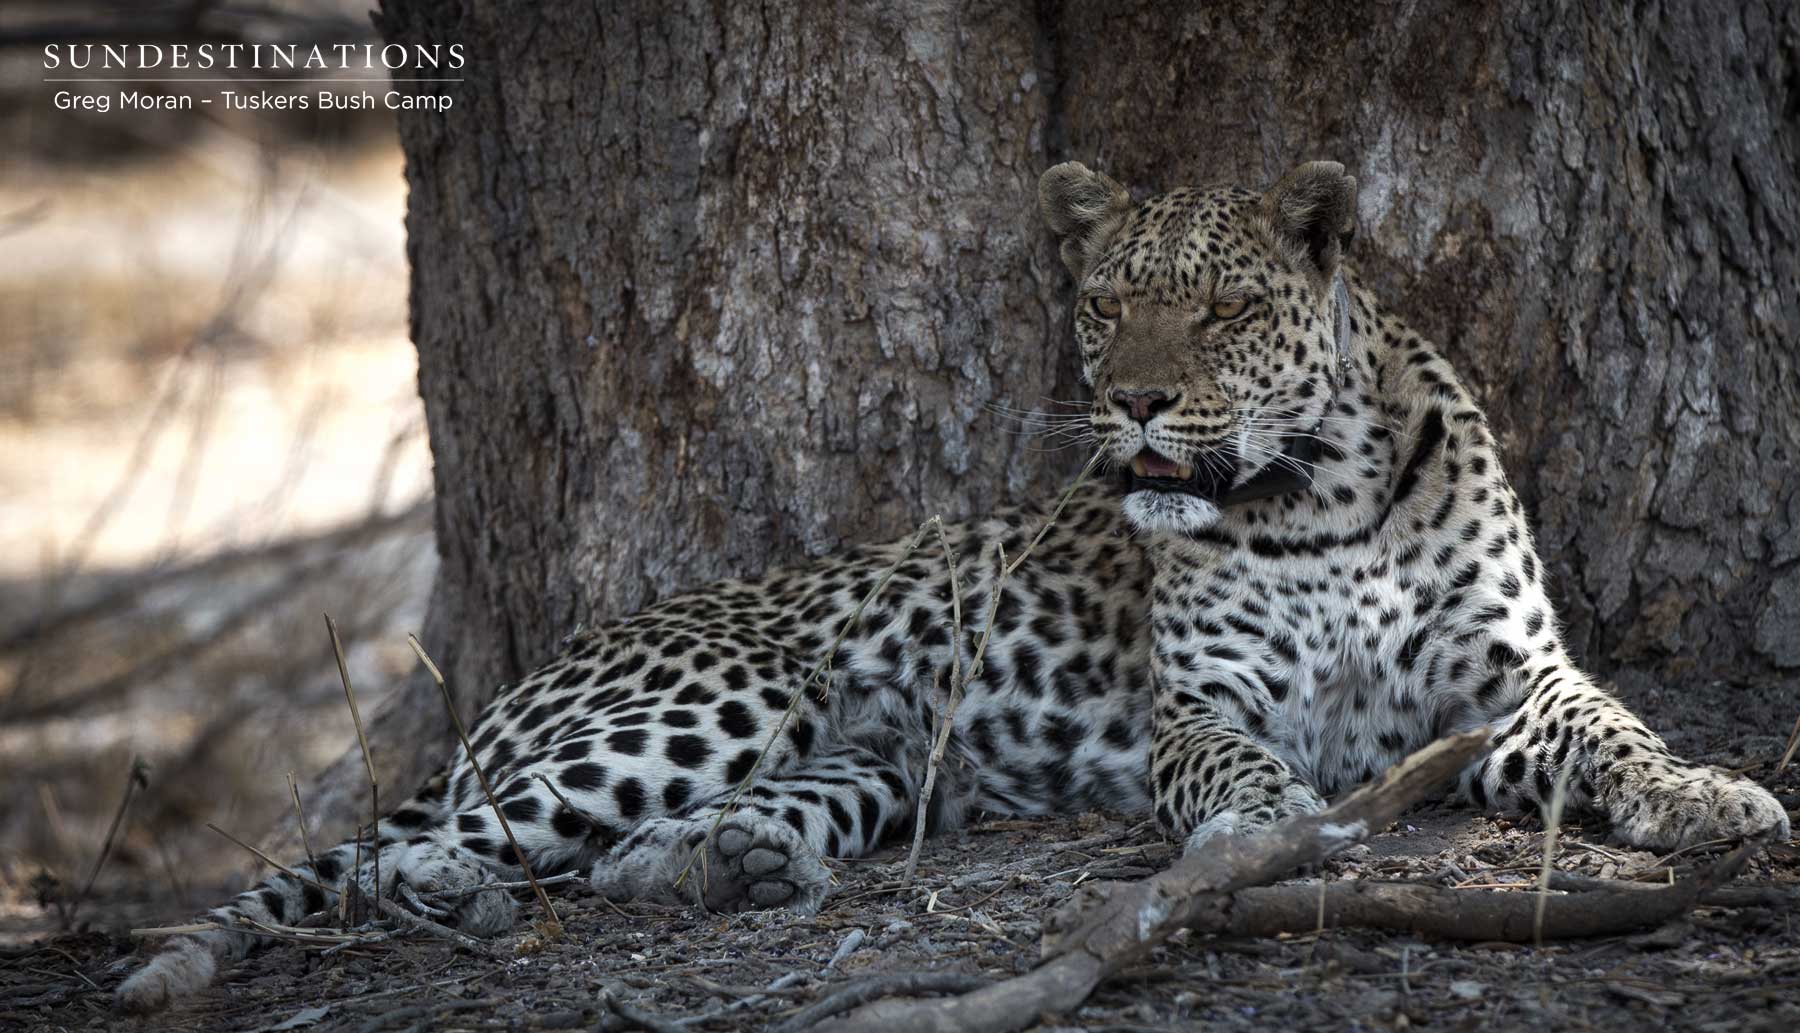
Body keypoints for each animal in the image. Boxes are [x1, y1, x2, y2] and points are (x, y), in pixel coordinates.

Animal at [116, 160, 1790, 1012]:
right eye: (1107, 304)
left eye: (1220, 309)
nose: (1130, 402)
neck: (1322, 498)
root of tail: (526, 679)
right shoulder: (1202, 703)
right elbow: (1242, 768)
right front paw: (1265, 835)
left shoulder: (1512, 682)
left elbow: (1618, 729)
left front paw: (1710, 798)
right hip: (721, 698)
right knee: (410, 850)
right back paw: (474, 889)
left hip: (867, 761)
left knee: (634, 848)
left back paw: (720, 865)